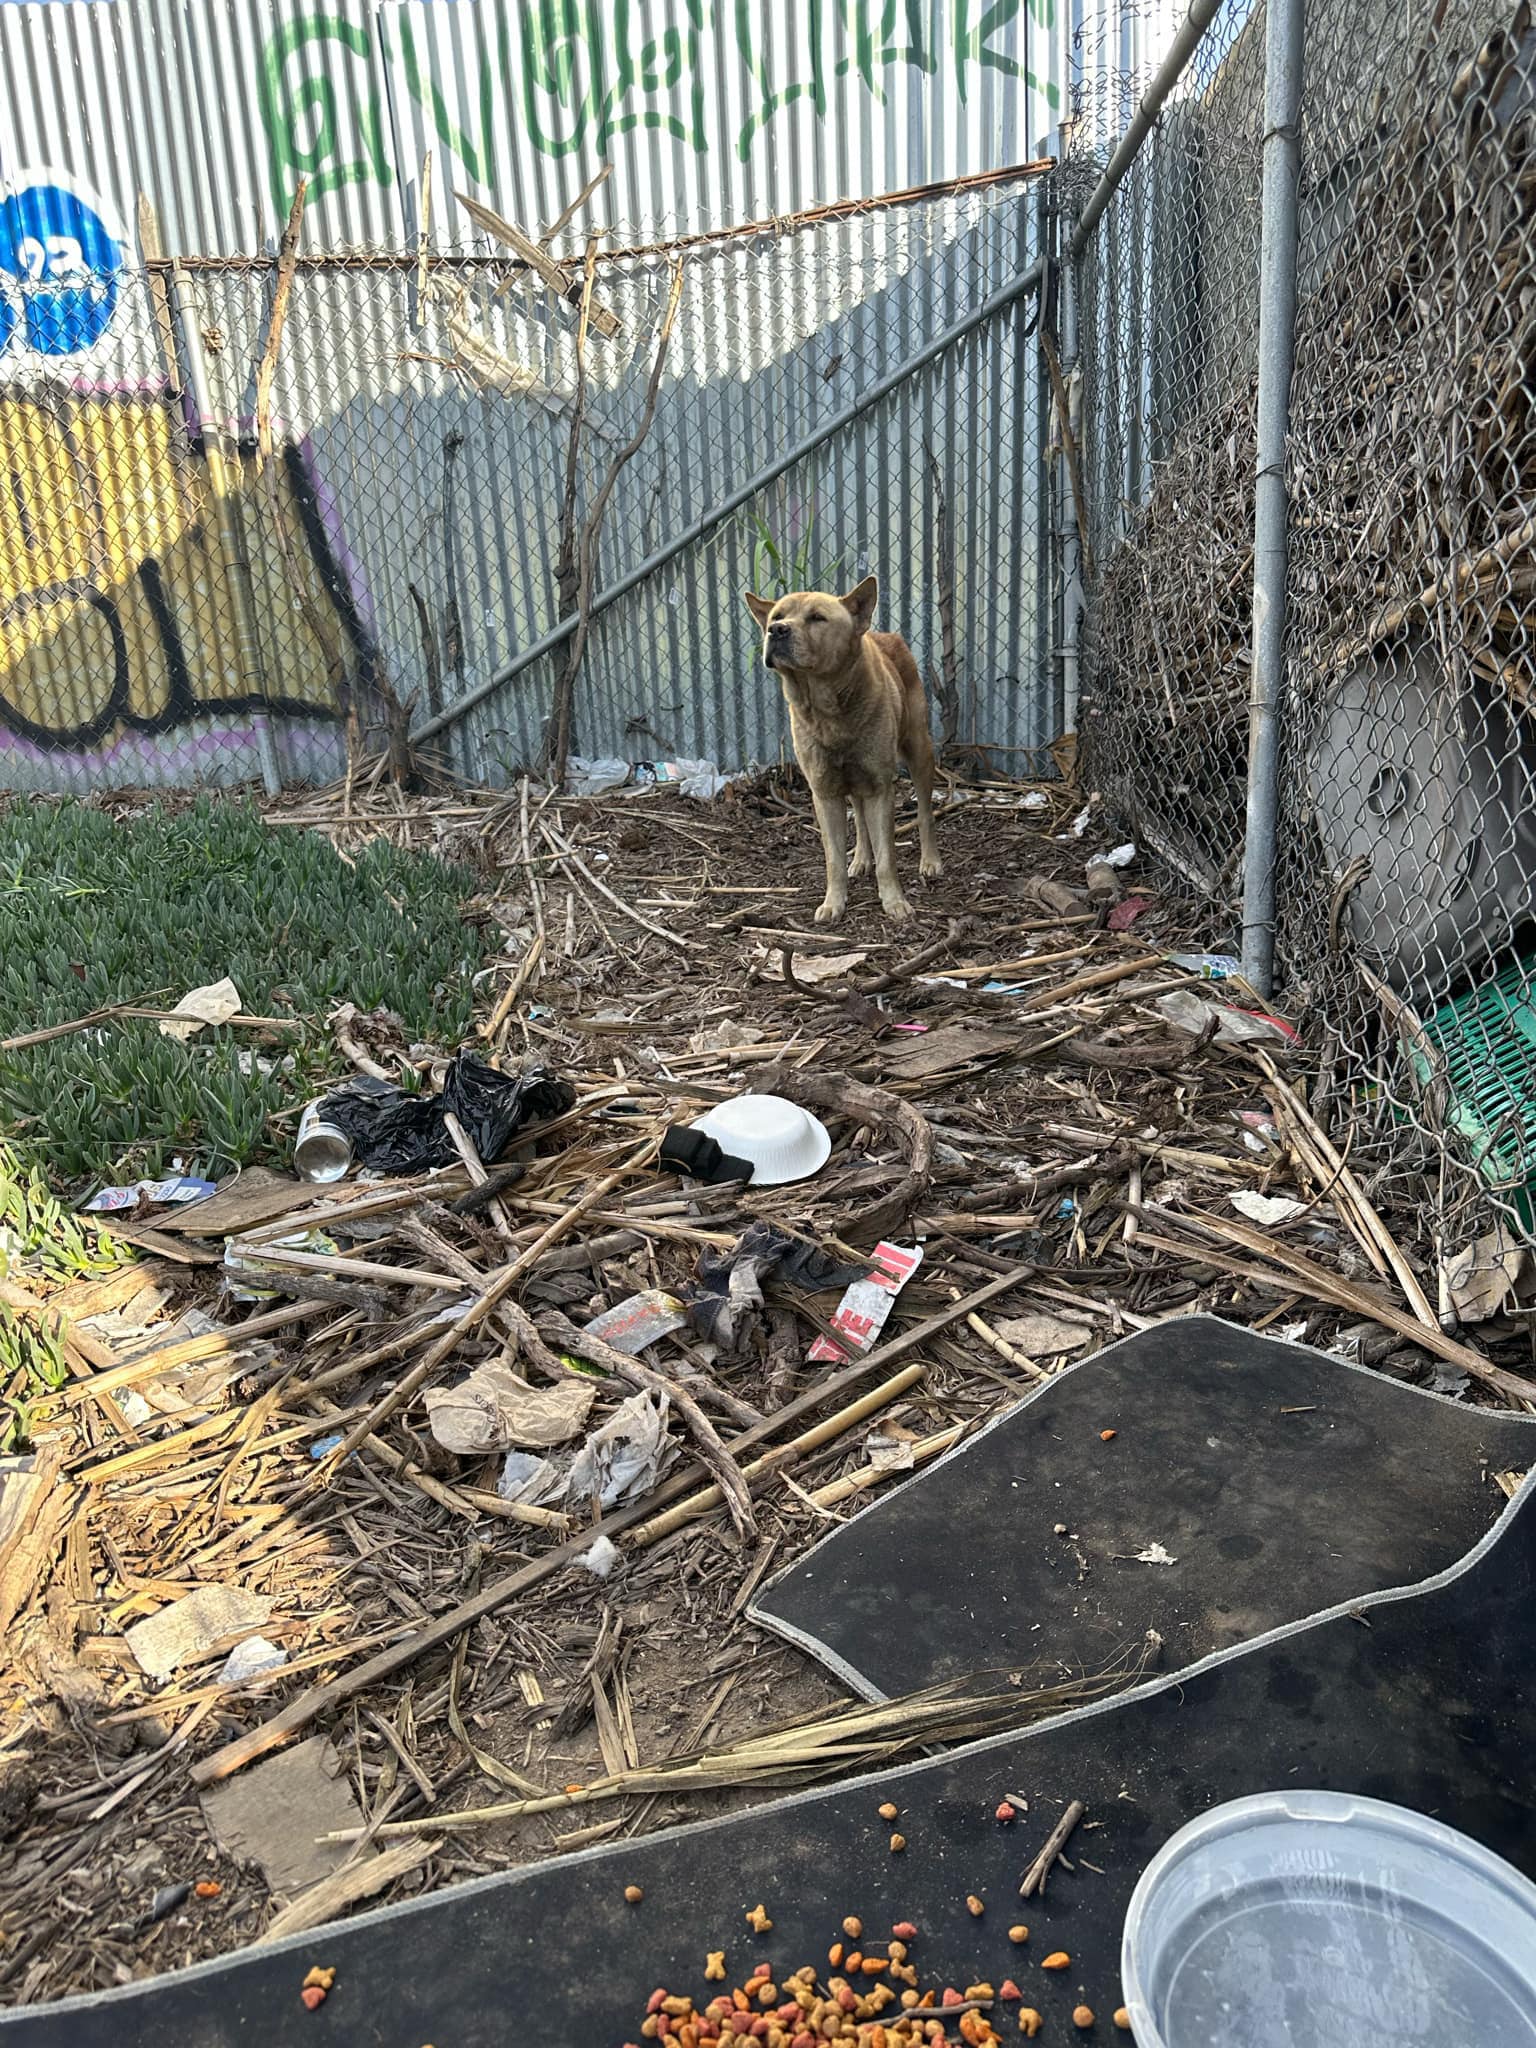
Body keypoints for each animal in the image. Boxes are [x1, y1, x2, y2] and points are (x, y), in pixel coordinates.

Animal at [741, 577, 946, 929]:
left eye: (817, 618)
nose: (776, 630)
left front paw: (895, 903)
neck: (829, 713)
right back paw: (861, 859)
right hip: (851, 783)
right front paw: (833, 903)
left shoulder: (880, 788)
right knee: (861, 820)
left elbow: (887, 857)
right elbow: (833, 859)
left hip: (920, 752)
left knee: (924, 813)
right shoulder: (825, 793)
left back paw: (930, 860)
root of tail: (886, 634)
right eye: (777, 616)